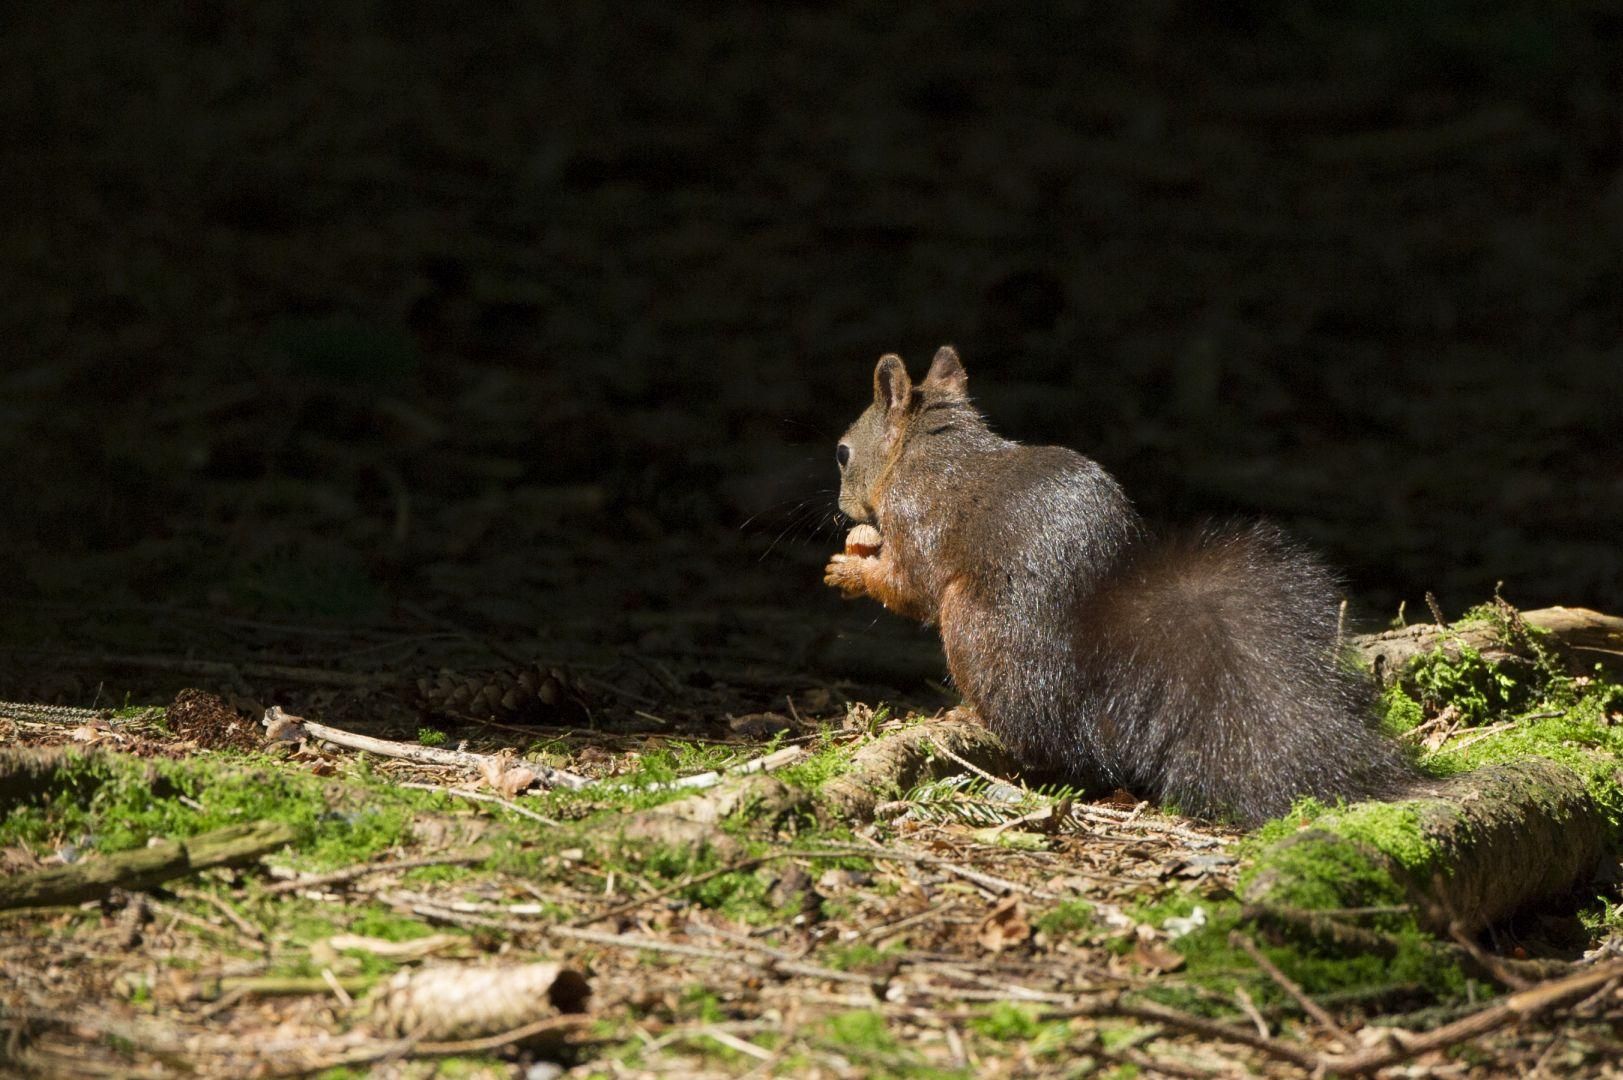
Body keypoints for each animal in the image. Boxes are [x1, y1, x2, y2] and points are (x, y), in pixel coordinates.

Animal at [824, 345, 1408, 825]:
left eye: (842, 452)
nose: (844, 508)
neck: (925, 452)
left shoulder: (917, 518)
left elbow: (908, 584)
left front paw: (849, 569)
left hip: (971, 624)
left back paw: (972, 713)